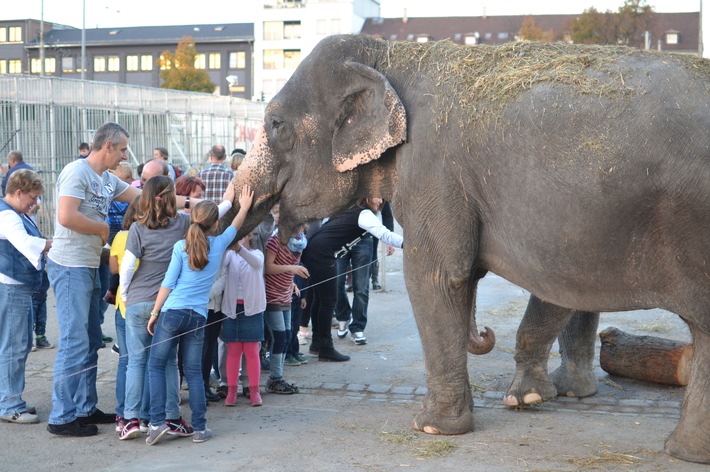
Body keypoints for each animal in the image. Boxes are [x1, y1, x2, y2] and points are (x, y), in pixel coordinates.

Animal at [225, 35, 710, 462]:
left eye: (276, 126)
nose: (485, 333)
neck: (391, 54)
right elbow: (552, 287)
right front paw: (544, 396)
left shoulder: (432, 169)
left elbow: (437, 276)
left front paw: (434, 427)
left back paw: (680, 451)